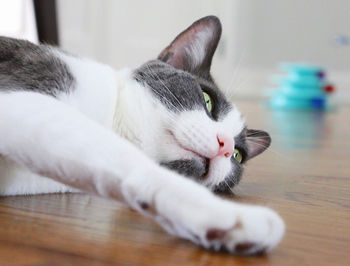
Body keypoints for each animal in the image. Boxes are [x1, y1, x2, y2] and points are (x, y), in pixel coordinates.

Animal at [0, 16, 284, 254]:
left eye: (237, 155)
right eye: (207, 100)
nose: (225, 146)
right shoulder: (27, 104)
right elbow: (134, 163)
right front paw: (230, 216)